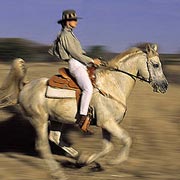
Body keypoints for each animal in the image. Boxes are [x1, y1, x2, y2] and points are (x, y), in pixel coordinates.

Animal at [0, 43, 168, 179]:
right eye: (155, 65)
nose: (164, 86)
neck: (114, 84)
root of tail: (25, 85)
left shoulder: (106, 125)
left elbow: (107, 147)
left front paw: (87, 161)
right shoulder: (108, 123)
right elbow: (127, 140)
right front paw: (113, 161)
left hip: (55, 119)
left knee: (55, 138)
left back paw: (79, 158)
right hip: (39, 120)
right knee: (42, 146)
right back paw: (58, 173)